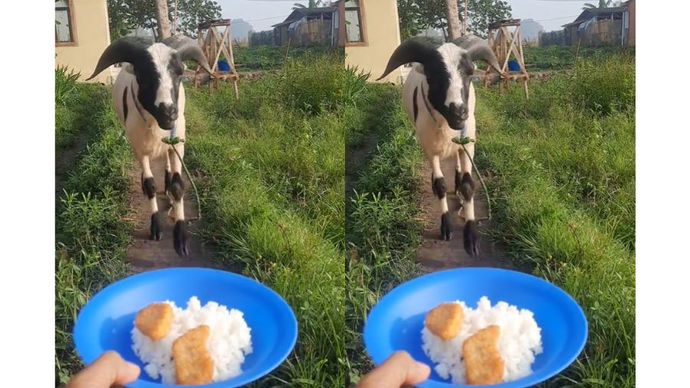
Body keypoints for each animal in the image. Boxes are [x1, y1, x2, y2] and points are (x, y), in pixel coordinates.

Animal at [88, 35, 212, 255]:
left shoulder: (178, 144)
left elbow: (178, 186)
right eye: (143, 75)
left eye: (179, 72)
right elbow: (150, 185)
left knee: (167, 163)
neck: (155, 125)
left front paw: (181, 239)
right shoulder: (140, 149)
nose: (168, 112)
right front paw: (155, 227)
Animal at [376, 34, 500, 256]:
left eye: (469, 73)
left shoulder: (468, 145)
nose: (458, 112)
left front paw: (471, 239)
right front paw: (446, 228)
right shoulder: (430, 149)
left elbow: (469, 186)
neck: (445, 125)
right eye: (433, 75)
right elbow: (440, 185)